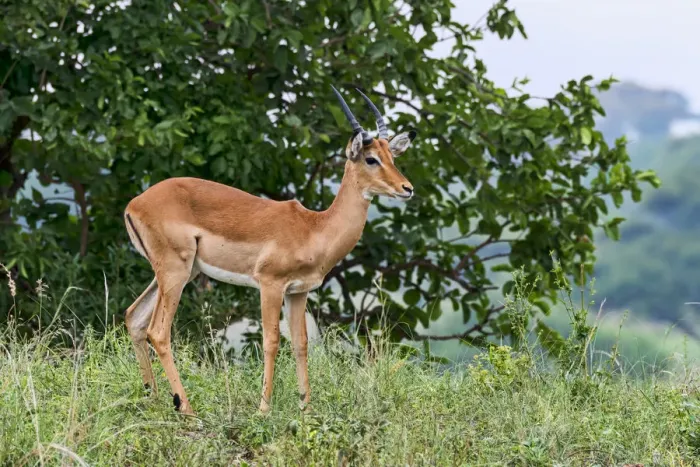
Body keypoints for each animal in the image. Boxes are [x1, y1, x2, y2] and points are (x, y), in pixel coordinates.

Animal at [123, 86, 416, 415]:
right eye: (370, 158)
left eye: (391, 156)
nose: (407, 188)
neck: (314, 228)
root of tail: (135, 203)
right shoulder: (270, 284)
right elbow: (272, 340)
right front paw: (263, 409)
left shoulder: (298, 292)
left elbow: (301, 343)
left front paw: (306, 409)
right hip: (176, 273)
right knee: (158, 332)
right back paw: (186, 409)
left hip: (177, 273)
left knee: (134, 318)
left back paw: (153, 400)